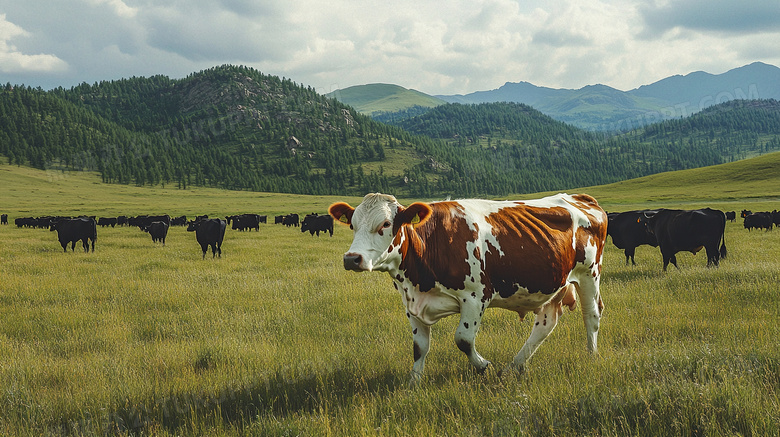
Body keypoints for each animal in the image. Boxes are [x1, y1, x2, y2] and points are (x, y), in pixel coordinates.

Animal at [330, 192, 608, 384]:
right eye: (353, 225)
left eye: (386, 224)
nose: (351, 259)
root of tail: (579, 197)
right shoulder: (411, 303)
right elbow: (419, 347)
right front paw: (413, 382)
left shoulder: (475, 296)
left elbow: (462, 339)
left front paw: (484, 366)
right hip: (553, 284)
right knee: (545, 323)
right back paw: (513, 367)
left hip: (589, 273)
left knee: (592, 316)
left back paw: (592, 357)